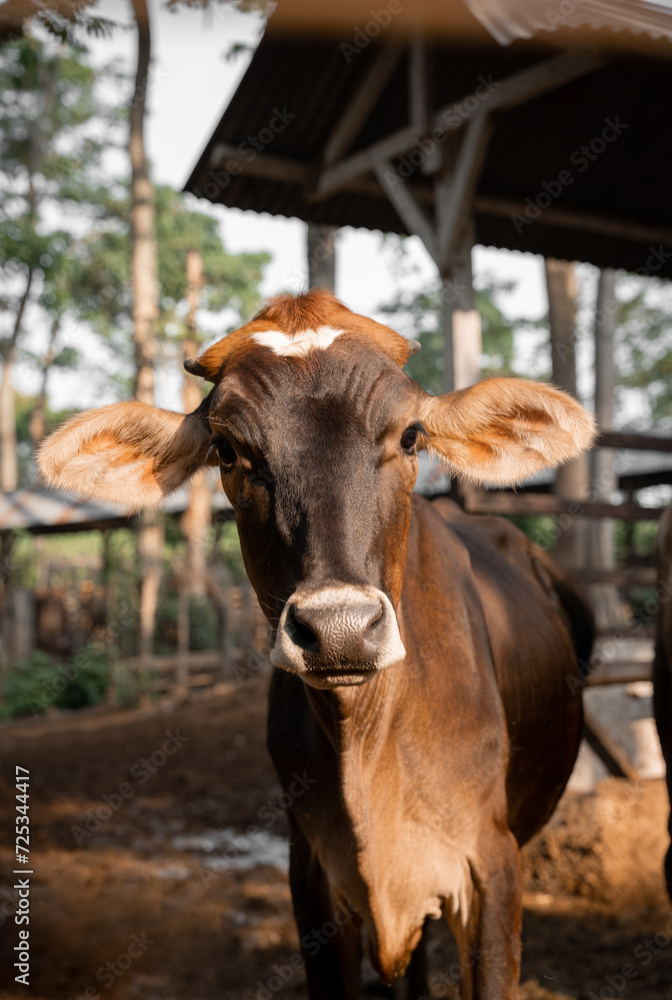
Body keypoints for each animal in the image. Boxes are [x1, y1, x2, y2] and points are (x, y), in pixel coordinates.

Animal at [39, 290, 596, 1000]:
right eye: (227, 450)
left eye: (410, 435)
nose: (339, 628)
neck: (368, 752)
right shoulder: (312, 876)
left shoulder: (491, 866)